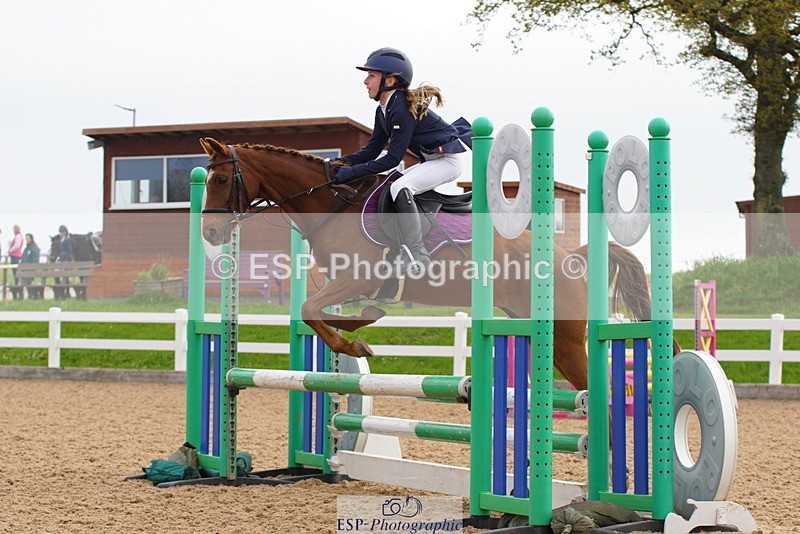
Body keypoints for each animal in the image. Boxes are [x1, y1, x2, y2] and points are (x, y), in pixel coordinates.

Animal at [198, 137, 655, 391]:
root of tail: (571, 256)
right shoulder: (348, 283)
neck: (334, 203)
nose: (211, 234)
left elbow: (310, 310)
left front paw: (356, 344)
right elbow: (319, 312)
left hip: (565, 340)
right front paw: (363, 324)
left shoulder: (357, 277)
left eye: (220, 179)